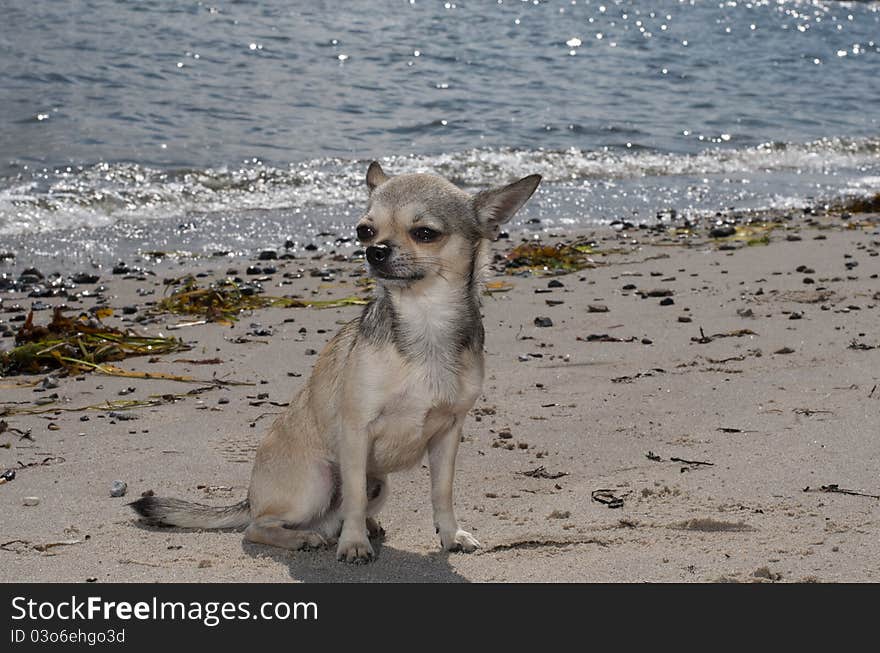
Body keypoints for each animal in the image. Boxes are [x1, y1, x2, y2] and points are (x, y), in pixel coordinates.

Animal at [133, 162, 540, 560]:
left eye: (425, 233)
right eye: (364, 230)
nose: (374, 251)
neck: (425, 321)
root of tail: (249, 498)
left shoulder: (448, 434)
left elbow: (442, 492)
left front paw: (451, 535)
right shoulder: (357, 431)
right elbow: (355, 495)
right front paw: (354, 545)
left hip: (380, 485)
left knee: (333, 516)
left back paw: (359, 528)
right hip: (316, 481)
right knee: (258, 528)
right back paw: (306, 538)